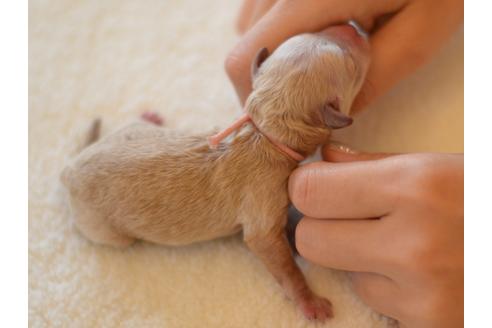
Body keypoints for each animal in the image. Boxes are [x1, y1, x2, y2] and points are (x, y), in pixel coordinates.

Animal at [60, 24, 368, 322]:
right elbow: (280, 260)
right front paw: (310, 301)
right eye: (352, 65)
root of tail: (71, 167)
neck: (264, 132)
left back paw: (149, 118)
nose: (355, 26)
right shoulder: (263, 216)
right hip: (102, 228)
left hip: (129, 134)